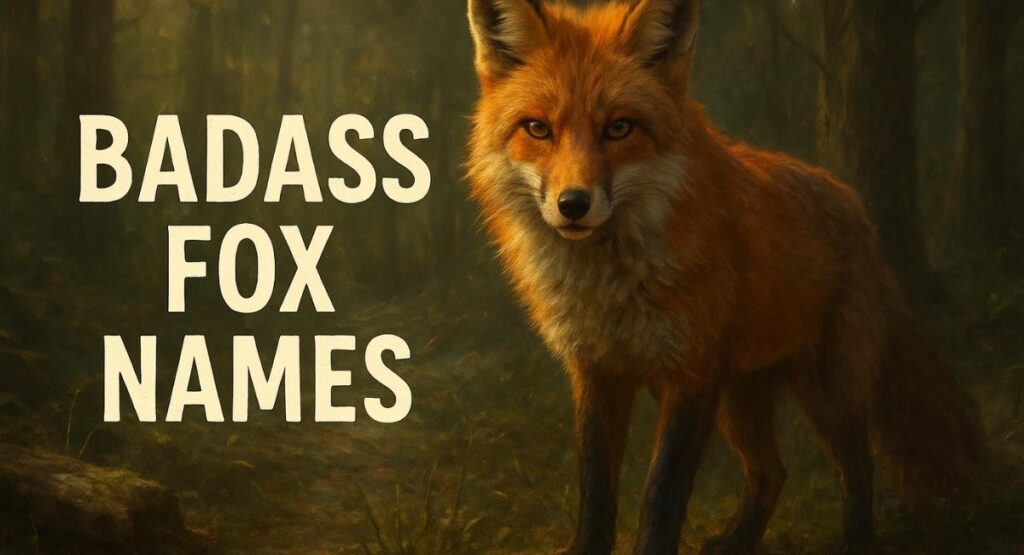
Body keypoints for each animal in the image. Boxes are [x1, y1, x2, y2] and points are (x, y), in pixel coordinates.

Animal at [465, 0, 985, 554]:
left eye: (620, 128)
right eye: (538, 129)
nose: (574, 204)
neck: (610, 286)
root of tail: (852, 204)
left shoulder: (690, 375)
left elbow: (662, 494)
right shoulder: (597, 371)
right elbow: (596, 490)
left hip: (825, 389)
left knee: (859, 467)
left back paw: (855, 541)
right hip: (740, 398)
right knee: (772, 472)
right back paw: (736, 542)